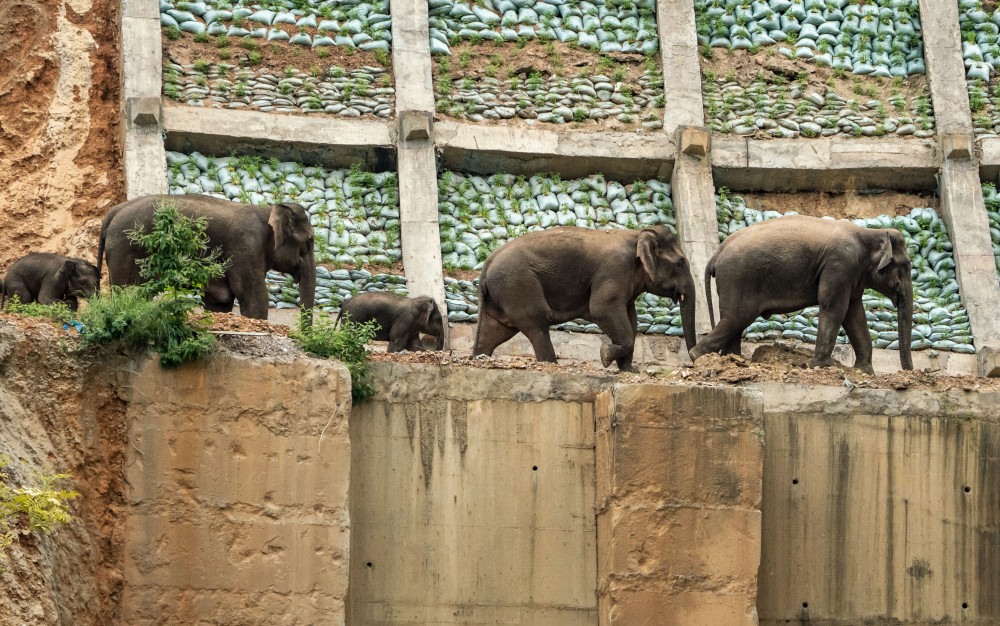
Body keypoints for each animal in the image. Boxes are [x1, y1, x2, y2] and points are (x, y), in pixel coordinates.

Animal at [97, 194, 316, 316]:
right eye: (309, 241)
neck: (267, 210)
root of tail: (113, 212)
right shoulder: (246, 246)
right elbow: (254, 298)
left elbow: (221, 301)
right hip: (127, 250)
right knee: (128, 290)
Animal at [474, 224, 696, 370]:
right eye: (681, 262)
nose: (693, 357)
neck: (636, 234)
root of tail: (486, 266)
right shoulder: (615, 269)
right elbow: (602, 309)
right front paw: (605, 356)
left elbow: (631, 321)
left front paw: (629, 370)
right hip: (518, 284)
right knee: (537, 322)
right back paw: (553, 364)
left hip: (502, 293)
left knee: (493, 332)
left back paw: (479, 358)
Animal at [688, 214, 916, 372]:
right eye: (906, 266)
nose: (908, 370)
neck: (870, 232)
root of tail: (717, 253)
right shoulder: (840, 264)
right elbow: (835, 307)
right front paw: (823, 365)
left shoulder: (852, 274)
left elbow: (854, 313)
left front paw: (865, 371)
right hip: (738, 278)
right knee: (736, 318)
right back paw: (697, 356)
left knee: (734, 321)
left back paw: (732, 360)